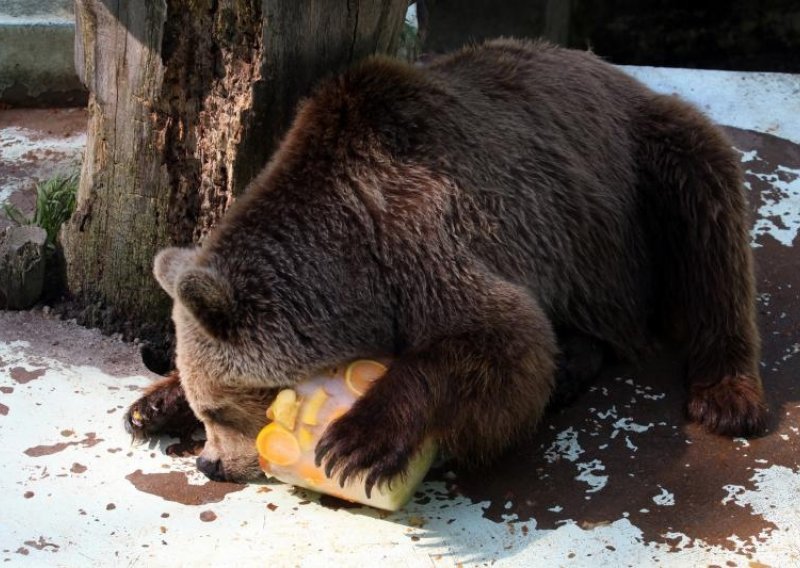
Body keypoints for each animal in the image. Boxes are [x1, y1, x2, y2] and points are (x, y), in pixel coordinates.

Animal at [125, 38, 768, 492]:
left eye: (220, 409)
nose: (211, 465)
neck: (355, 262)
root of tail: (610, 68)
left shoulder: (426, 234)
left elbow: (506, 345)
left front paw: (357, 440)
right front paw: (151, 403)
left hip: (640, 172)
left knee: (711, 224)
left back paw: (726, 394)